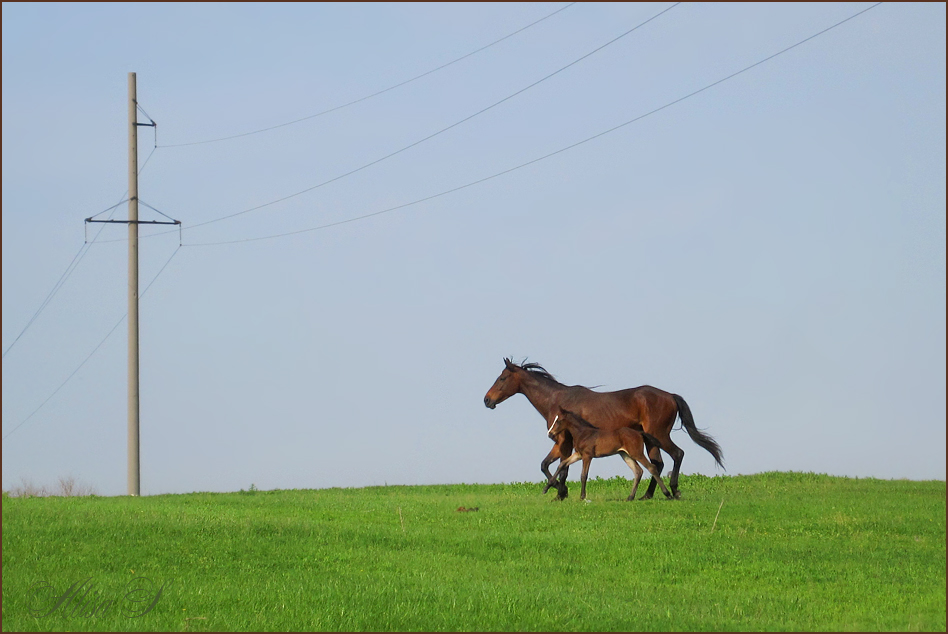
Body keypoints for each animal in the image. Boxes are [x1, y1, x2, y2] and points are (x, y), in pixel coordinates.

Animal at [544, 404, 672, 498]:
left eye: (558, 421)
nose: (550, 434)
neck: (583, 433)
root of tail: (639, 433)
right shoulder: (578, 454)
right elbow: (562, 464)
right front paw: (546, 488)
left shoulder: (587, 456)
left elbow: (584, 475)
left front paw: (582, 496)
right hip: (625, 454)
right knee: (638, 471)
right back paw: (630, 497)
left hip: (637, 453)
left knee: (651, 467)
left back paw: (668, 494)